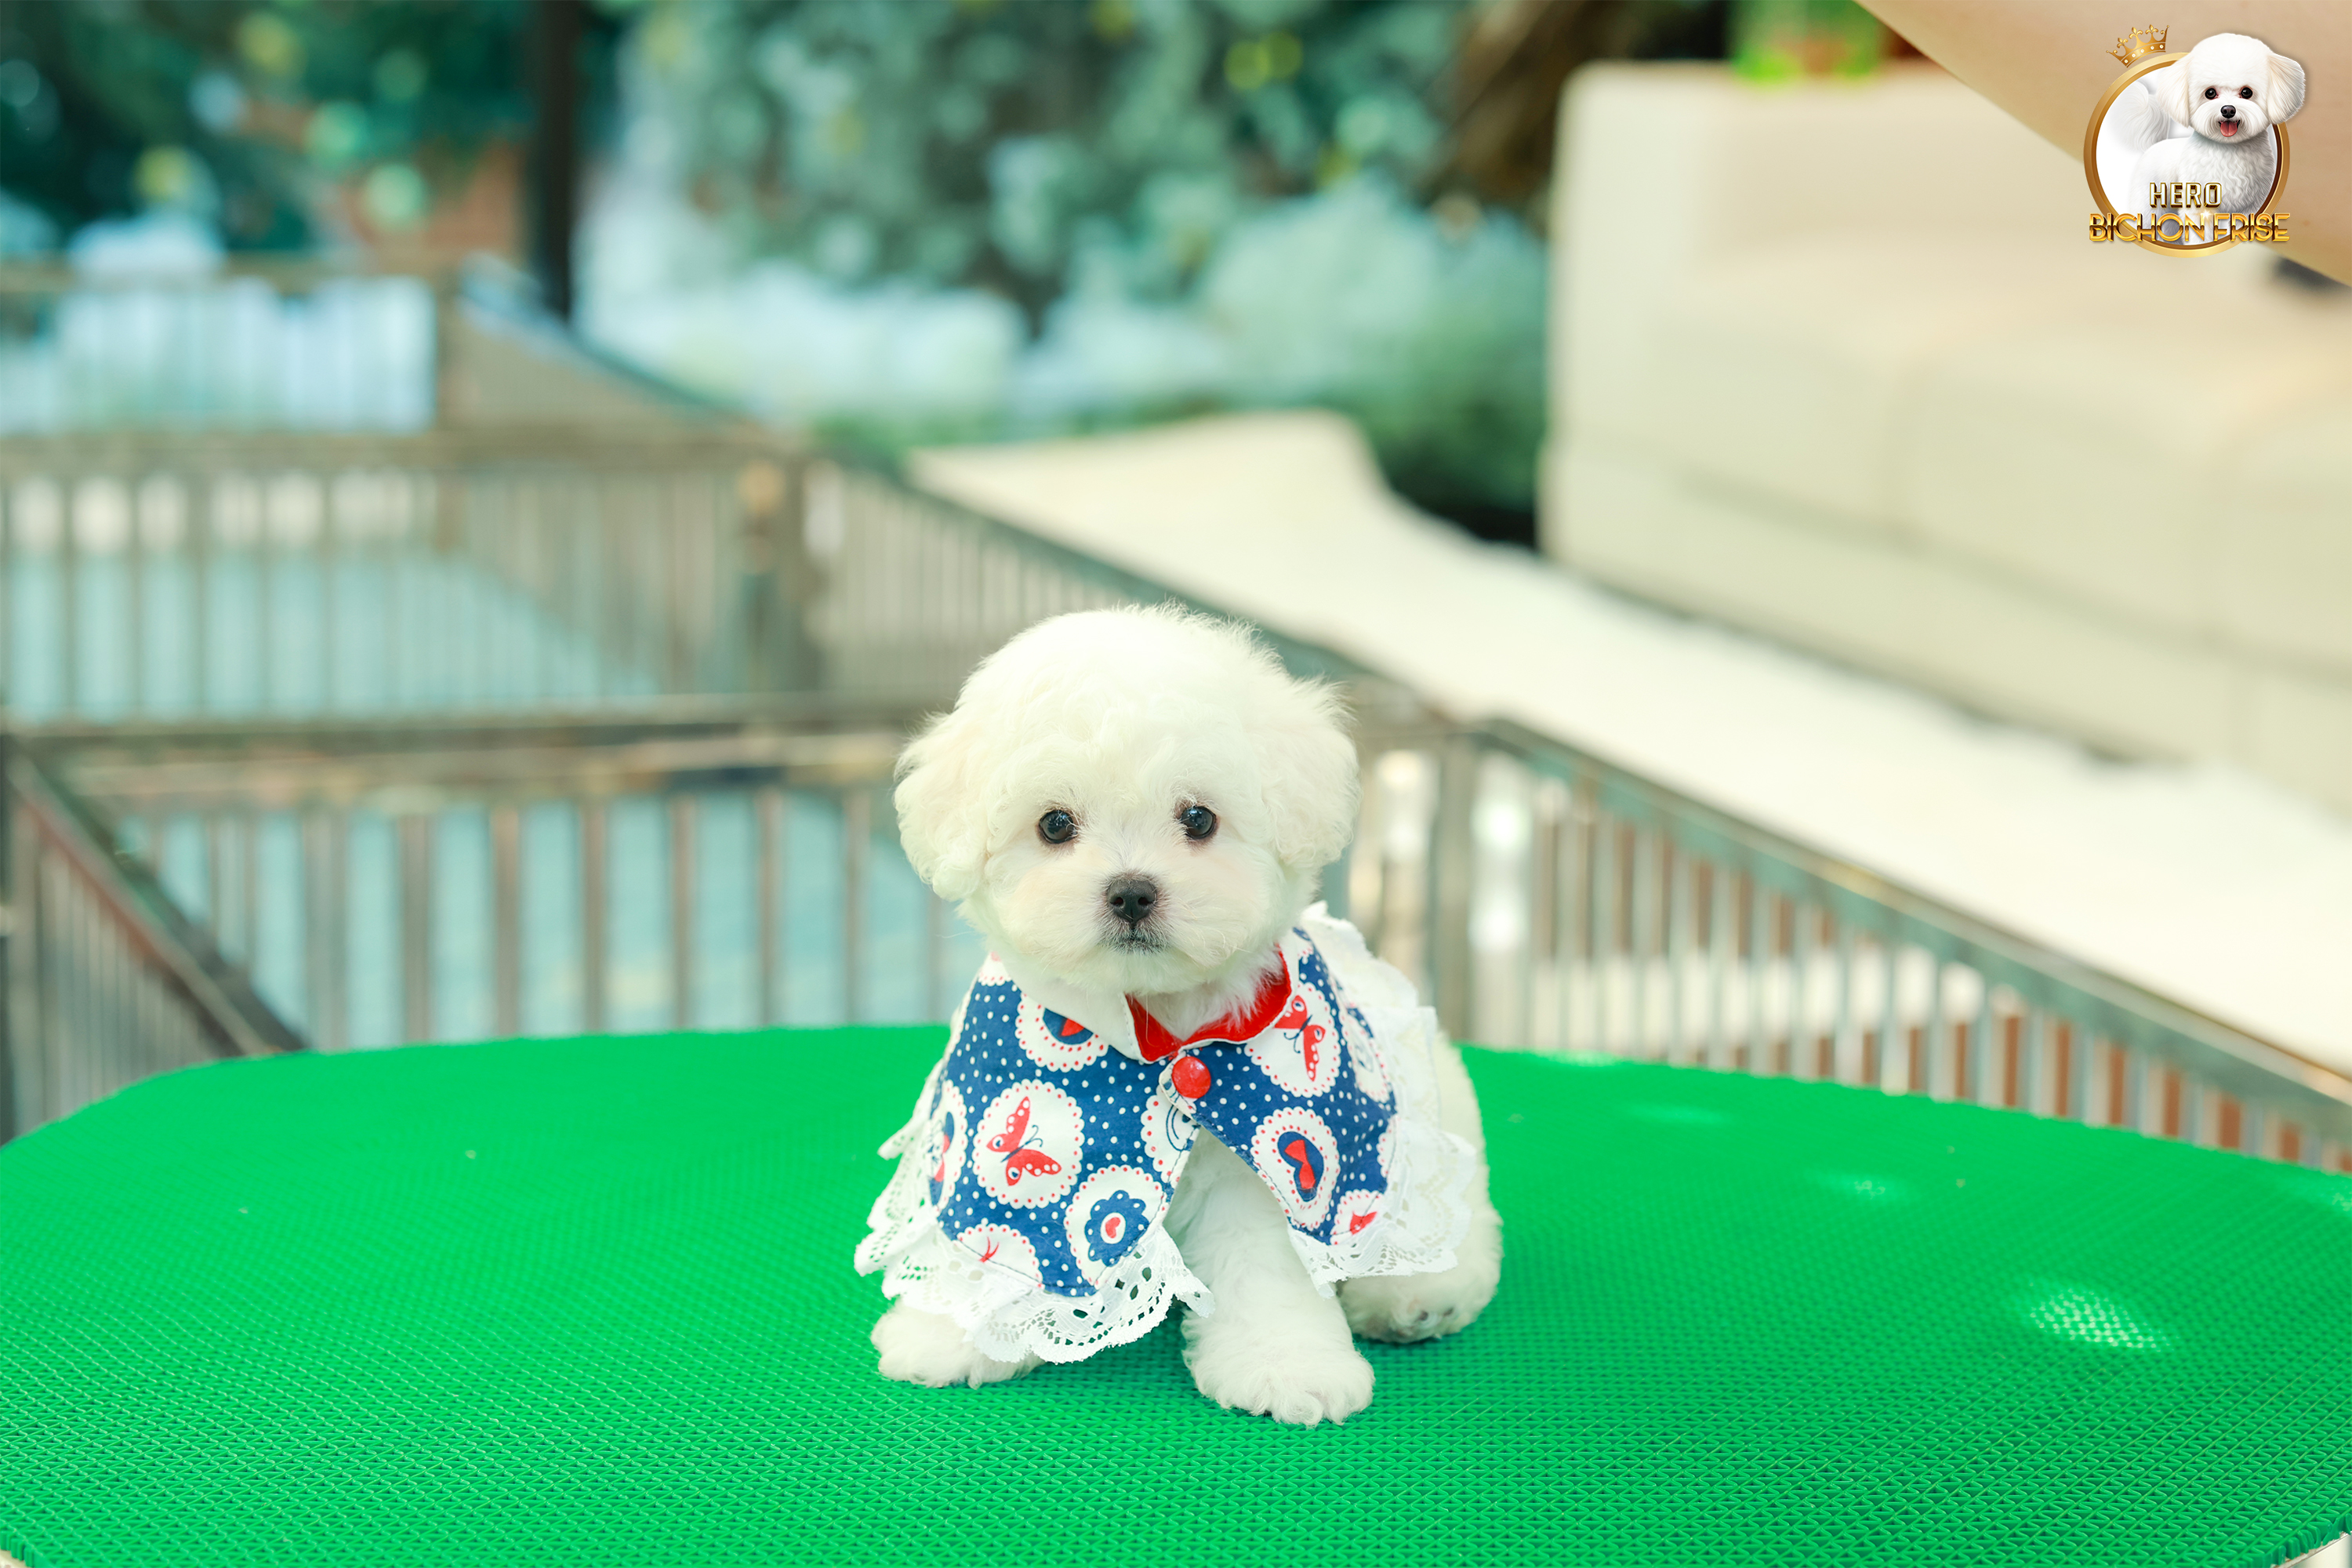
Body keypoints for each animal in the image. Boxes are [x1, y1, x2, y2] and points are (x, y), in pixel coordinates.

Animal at [857, 605, 1502, 1426]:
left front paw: (1286, 1365)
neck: (1155, 1031)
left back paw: (1417, 1297)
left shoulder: (1268, 1163)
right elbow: (990, 1240)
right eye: (1055, 825)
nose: (1131, 891)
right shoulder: (993, 1144)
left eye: (1198, 818)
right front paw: (953, 1329)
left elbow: (1267, 1262)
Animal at [2098, 34, 2305, 229]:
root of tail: (2156, 145)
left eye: (2246, 92)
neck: (2228, 152)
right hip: (2150, 205)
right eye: (2210, 93)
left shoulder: (2251, 207)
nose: (2228, 110)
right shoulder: (2199, 206)